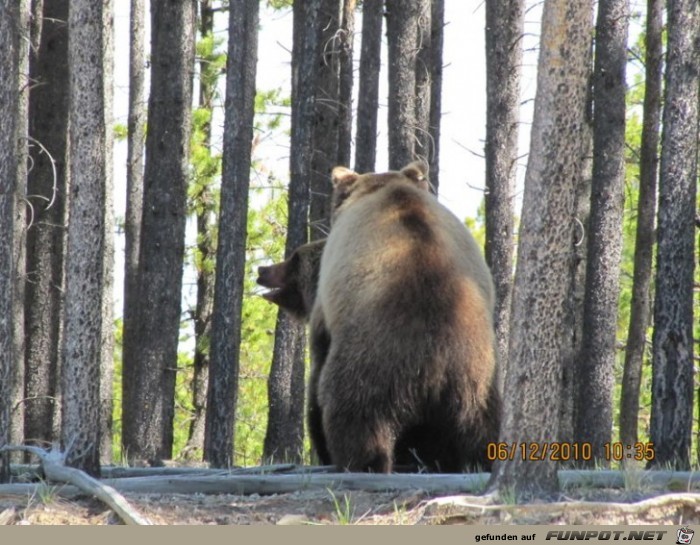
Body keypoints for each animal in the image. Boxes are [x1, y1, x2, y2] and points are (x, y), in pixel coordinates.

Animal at [308, 159, 500, 470]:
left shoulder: (326, 296)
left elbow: (317, 354)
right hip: (477, 376)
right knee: (480, 429)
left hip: (371, 359)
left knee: (354, 416)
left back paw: (360, 462)